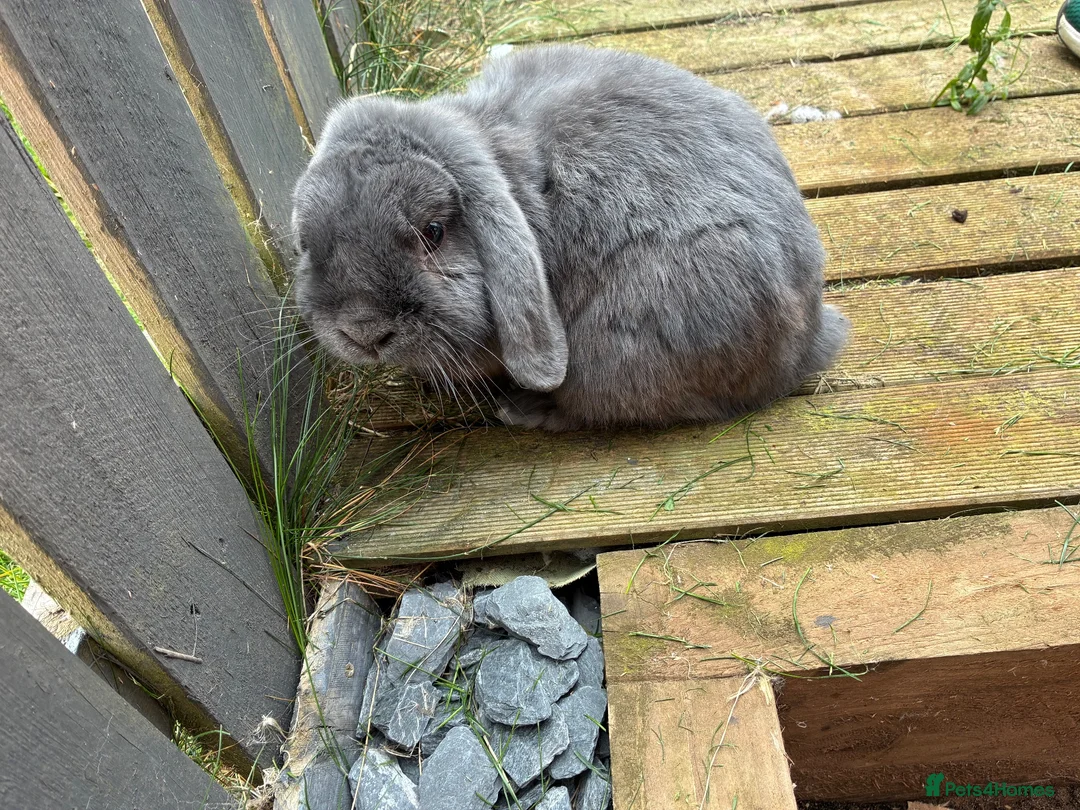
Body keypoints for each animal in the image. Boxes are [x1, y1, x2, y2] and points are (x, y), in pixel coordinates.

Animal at [290, 44, 849, 431]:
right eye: (308, 245)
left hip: (618, 353)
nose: (364, 332)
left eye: (433, 232)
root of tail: (811, 343)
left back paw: (526, 409)